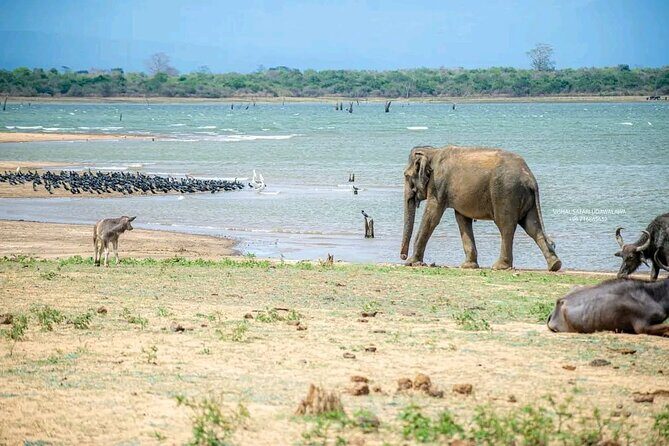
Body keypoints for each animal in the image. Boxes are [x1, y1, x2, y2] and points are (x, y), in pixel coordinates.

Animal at [400, 145, 562, 271]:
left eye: (406, 176)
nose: (403, 256)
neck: (432, 151)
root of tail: (530, 178)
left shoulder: (438, 186)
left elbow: (432, 217)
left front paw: (411, 263)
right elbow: (462, 220)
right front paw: (468, 266)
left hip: (506, 193)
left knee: (505, 225)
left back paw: (499, 266)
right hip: (524, 198)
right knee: (532, 226)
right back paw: (555, 265)